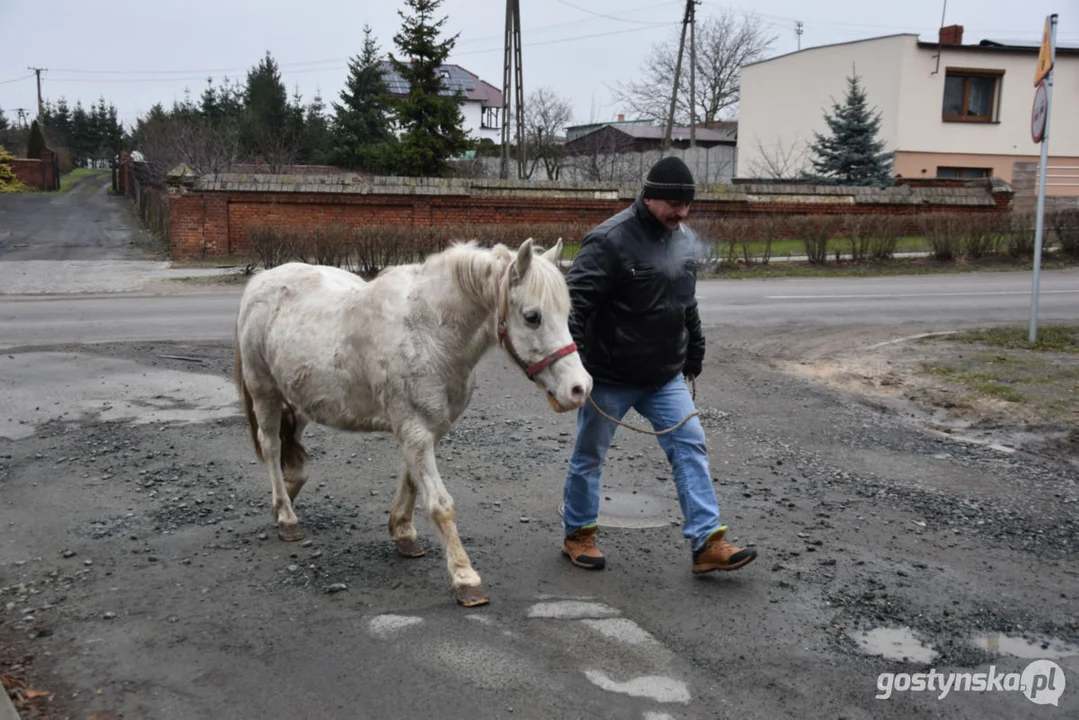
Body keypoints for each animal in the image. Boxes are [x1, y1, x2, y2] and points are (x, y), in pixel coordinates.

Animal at [230, 239, 595, 604]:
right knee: (272, 446)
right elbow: (440, 504)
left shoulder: (427, 430)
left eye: (567, 314)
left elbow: (411, 481)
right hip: (265, 393)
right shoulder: (416, 430)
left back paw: (289, 493)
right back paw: (285, 515)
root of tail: (260, 283)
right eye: (533, 317)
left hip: (301, 399)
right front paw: (464, 576)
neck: (429, 333)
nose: (579, 389)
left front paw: (403, 532)